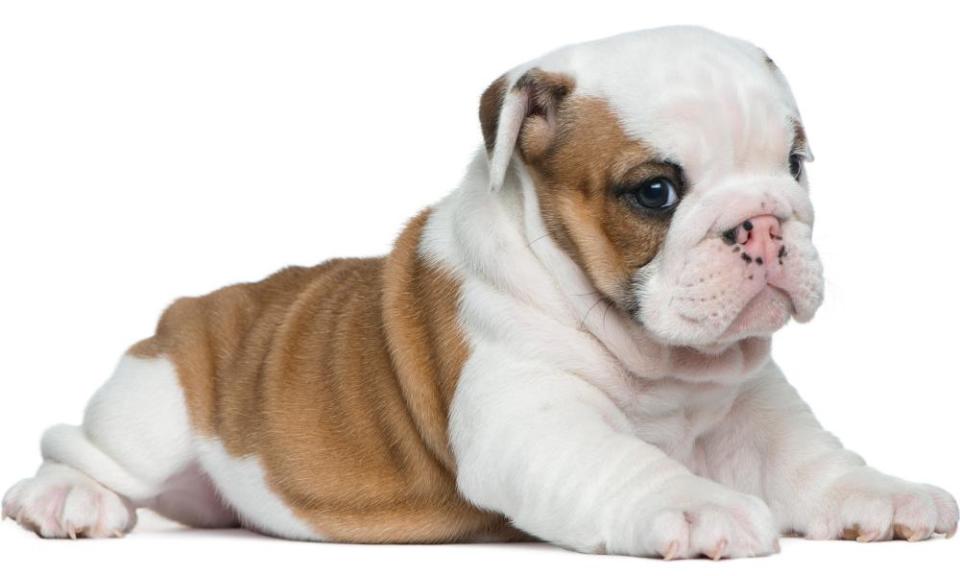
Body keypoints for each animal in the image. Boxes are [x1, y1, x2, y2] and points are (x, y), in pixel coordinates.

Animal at [3, 25, 956, 560]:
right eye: (655, 192)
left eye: (794, 164)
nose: (763, 223)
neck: (663, 364)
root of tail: (191, 309)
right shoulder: (535, 420)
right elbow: (628, 463)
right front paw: (696, 505)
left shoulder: (755, 413)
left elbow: (813, 463)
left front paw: (885, 496)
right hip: (155, 405)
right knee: (80, 450)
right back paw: (64, 502)